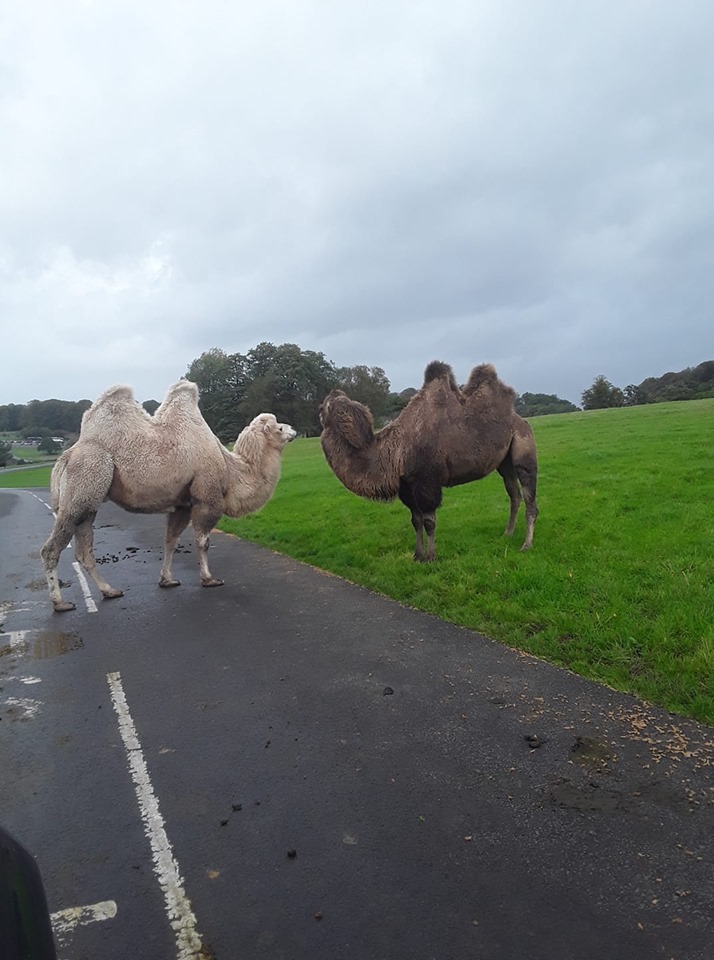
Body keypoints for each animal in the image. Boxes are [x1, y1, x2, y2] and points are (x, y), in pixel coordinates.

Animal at [41, 380, 296, 612]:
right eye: (278, 428)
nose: (293, 430)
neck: (230, 469)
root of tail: (66, 456)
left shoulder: (182, 504)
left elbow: (171, 541)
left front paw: (167, 580)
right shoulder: (207, 497)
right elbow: (203, 542)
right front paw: (209, 579)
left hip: (89, 502)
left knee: (85, 550)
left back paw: (110, 591)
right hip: (85, 481)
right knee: (51, 549)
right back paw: (60, 603)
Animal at [319, 361, 538, 561]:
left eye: (325, 407)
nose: (319, 409)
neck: (394, 453)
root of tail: (521, 420)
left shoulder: (427, 482)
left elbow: (429, 521)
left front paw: (431, 557)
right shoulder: (407, 486)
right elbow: (416, 521)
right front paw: (417, 555)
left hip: (523, 448)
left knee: (529, 496)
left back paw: (526, 545)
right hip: (504, 462)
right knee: (514, 494)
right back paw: (507, 533)